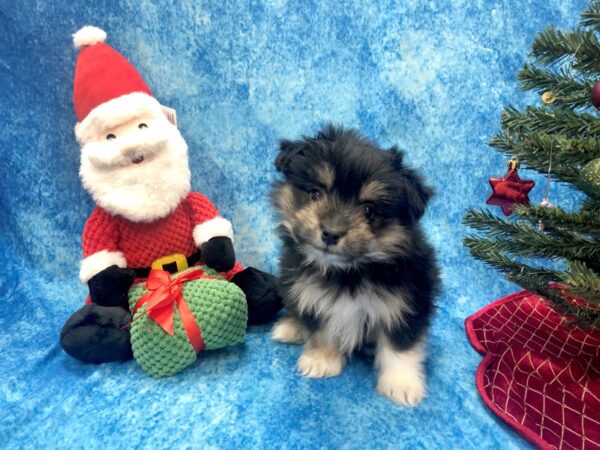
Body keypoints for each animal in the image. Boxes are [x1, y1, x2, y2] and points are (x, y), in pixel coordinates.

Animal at [270, 125, 438, 406]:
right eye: (316, 193)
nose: (330, 233)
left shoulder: (407, 302)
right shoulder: (311, 293)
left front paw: (401, 383)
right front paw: (321, 360)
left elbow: (401, 344)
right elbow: (322, 329)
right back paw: (291, 327)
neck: (349, 271)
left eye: (369, 210)